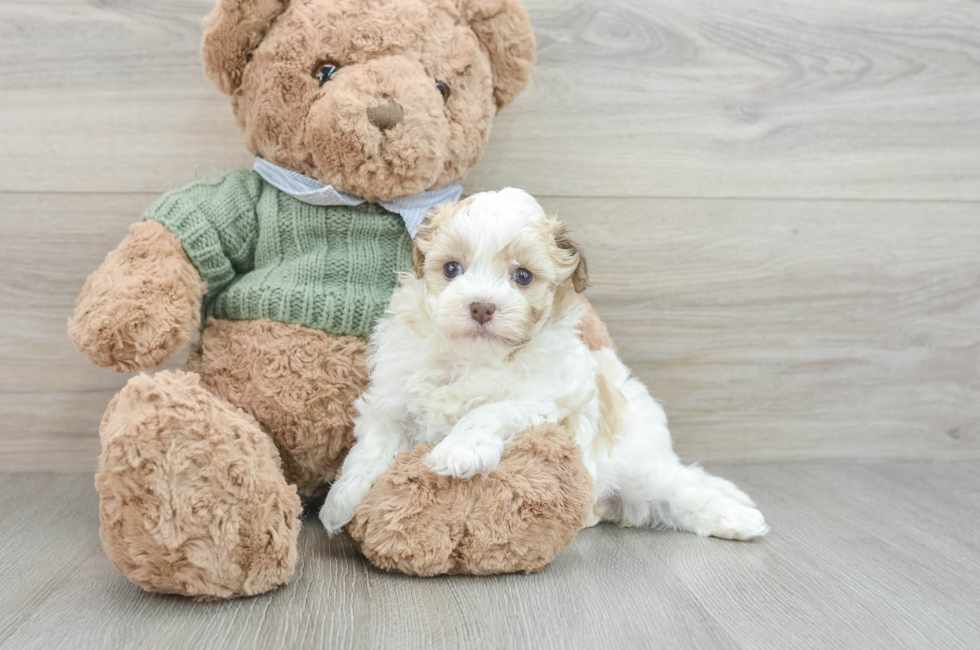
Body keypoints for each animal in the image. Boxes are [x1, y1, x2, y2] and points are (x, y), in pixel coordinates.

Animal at [320, 189, 764, 540]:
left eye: (522, 276)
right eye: (451, 269)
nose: (481, 306)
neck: (474, 358)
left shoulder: (547, 399)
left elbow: (489, 411)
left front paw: (459, 450)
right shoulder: (393, 403)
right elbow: (371, 447)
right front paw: (340, 502)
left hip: (638, 467)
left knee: (682, 490)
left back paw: (740, 518)